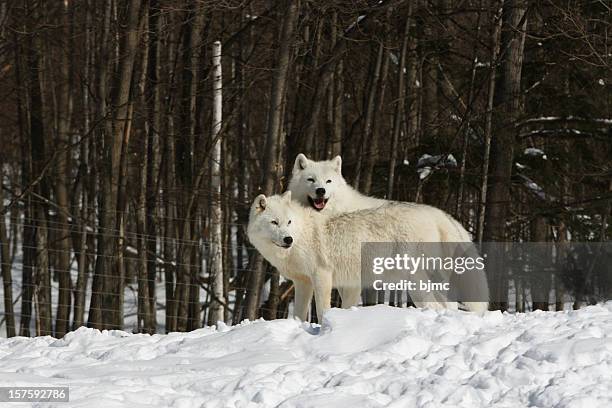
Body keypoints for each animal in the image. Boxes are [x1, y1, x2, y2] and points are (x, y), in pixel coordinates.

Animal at [246, 191, 490, 322]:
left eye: (288, 222)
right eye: (274, 222)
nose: (288, 239)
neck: (302, 234)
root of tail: (438, 214)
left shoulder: (322, 277)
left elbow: (323, 311)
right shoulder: (302, 282)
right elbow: (298, 314)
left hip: (414, 282)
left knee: (437, 306)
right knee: (449, 306)